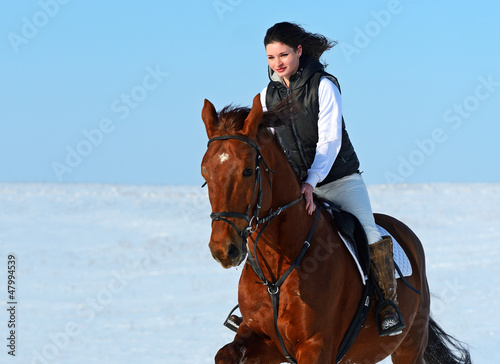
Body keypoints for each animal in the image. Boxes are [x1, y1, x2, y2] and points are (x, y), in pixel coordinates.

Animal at [200, 95, 472, 362]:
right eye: (205, 173)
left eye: (248, 170)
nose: (223, 249)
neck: (277, 271)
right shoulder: (264, 340)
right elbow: (224, 355)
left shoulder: (316, 346)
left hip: (409, 344)